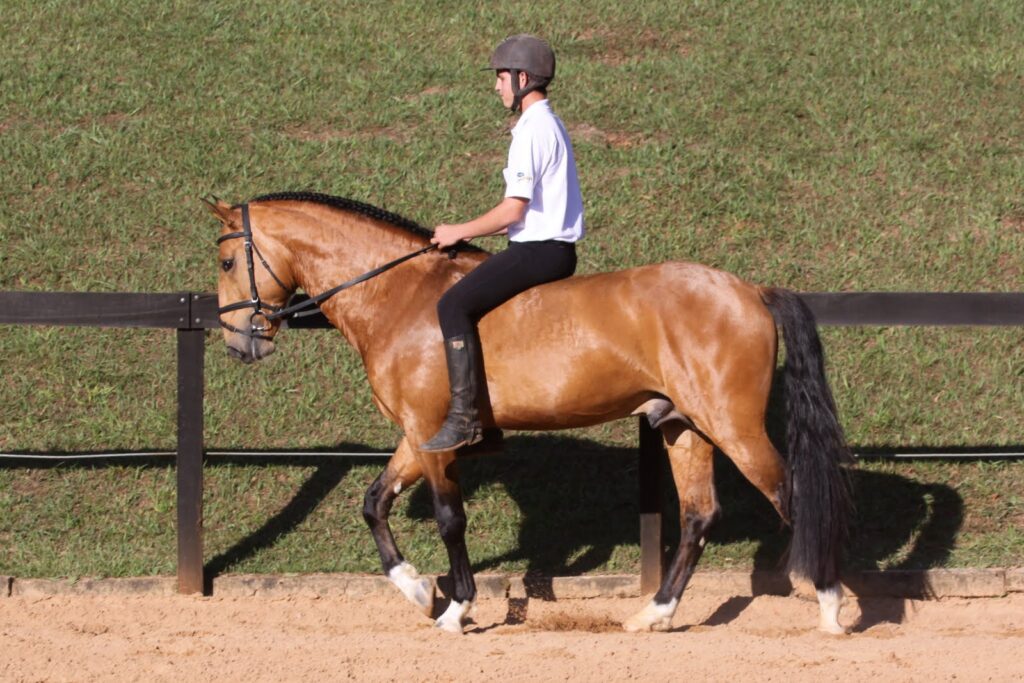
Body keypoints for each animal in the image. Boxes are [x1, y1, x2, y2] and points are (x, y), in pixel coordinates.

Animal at [203, 191, 851, 634]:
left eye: (229, 263)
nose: (239, 344)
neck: (398, 297)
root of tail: (751, 291)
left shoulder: (432, 436)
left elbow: (449, 519)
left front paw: (456, 608)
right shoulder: (418, 436)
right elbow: (374, 502)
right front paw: (416, 589)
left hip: (733, 427)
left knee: (794, 495)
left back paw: (829, 604)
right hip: (684, 427)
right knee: (699, 516)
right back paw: (655, 614)